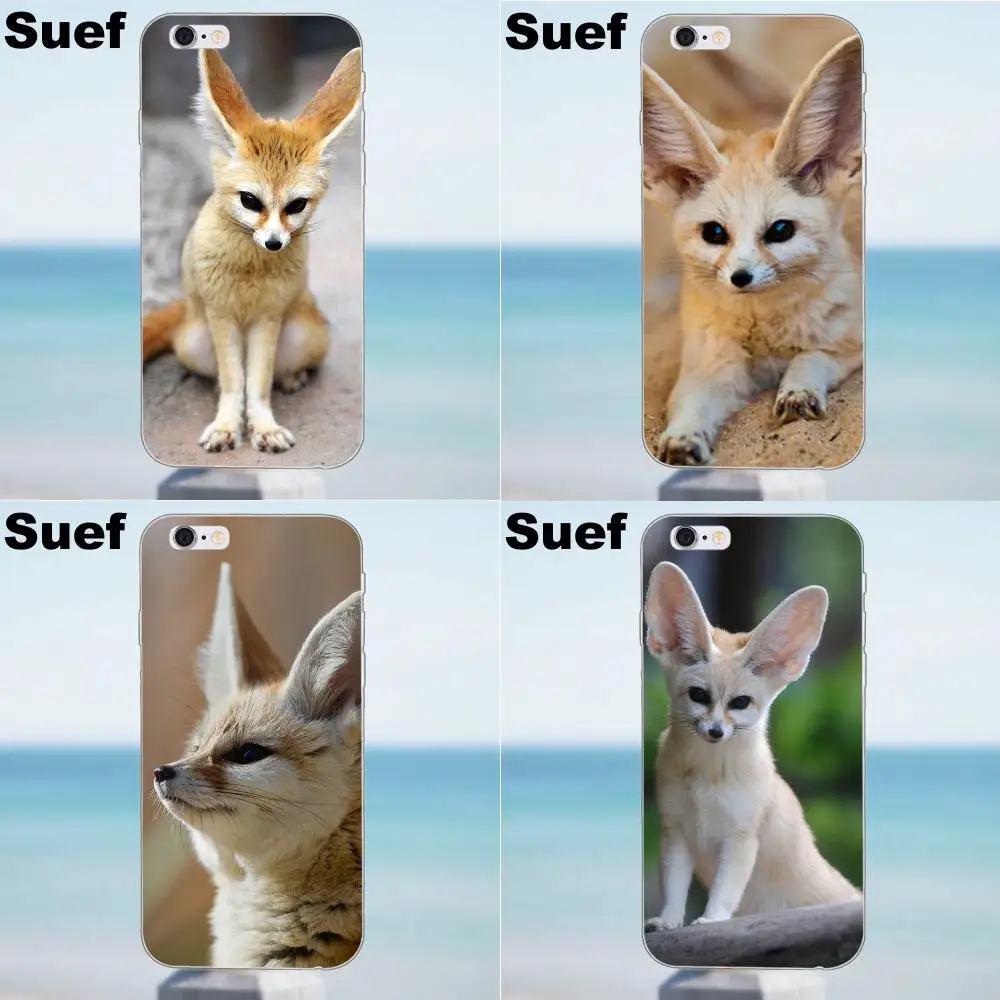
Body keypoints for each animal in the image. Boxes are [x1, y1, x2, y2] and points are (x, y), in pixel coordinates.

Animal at [142, 47, 363, 454]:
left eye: (296, 205)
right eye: (249, 200)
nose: (274, 242)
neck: (250, 270)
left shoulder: (267, 318)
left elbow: (257, 384)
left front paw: (264, 426)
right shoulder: (222, 316)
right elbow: (235, 383)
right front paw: (227, 425)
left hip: (303, 336)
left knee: (278, 370)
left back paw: (292, 378)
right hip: (194, 343)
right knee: (223, 375)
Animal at [642, 35, 863, 466]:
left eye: (780, 230)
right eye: (714, 233)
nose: (740, 277)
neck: (766, 334)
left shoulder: (851, 344)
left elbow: (811, 356)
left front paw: (798, 391)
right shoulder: (710, 367)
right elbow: (692, 403)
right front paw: (683, 436)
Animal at [643, 561, 861, 932]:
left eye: (740, 702)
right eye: (699, 695)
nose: (716, 731)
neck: (707, 779)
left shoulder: (742, 837)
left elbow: (726, 889)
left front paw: (711, 919)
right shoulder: (676, 831)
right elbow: (673, 887)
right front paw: (668, 920)